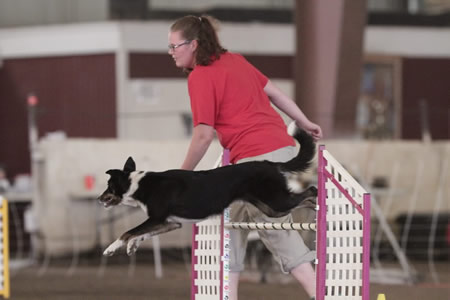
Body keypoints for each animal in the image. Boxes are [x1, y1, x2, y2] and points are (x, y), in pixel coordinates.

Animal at [98, 127, 316, 256]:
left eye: (108, 186)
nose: (99, 199)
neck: (139, 184)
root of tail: (271, 164)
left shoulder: (156, 218)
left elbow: (128, 232)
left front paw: (111, 248)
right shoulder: (170, 222)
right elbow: (141, 234)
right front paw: (132, 246)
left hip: (277, 201)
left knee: (311, 190)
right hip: (272, 208)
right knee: (304, 199)